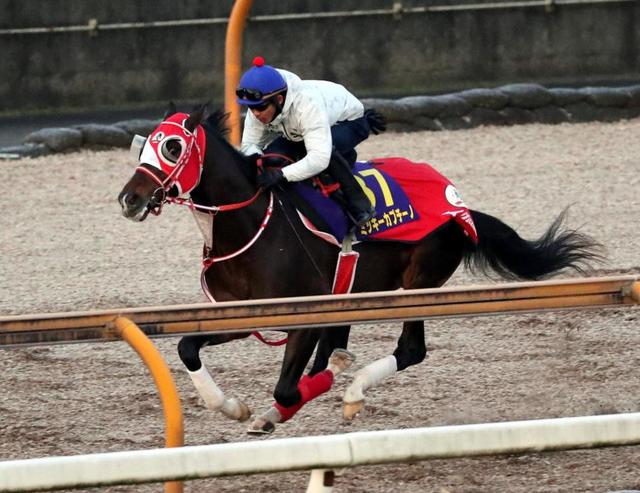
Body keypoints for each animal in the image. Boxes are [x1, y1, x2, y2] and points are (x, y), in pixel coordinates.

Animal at [117, 105, 604, 432]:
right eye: (144, 144)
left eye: (173, 146)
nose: (129, 199)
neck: (251, 223)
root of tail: (459, 203)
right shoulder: (243, 313)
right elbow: (187, 347)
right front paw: (233, 407)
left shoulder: (305, 314)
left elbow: (288, 385)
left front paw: (328, 381)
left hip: (419, 284)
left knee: (411, 349)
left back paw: (353, 390)